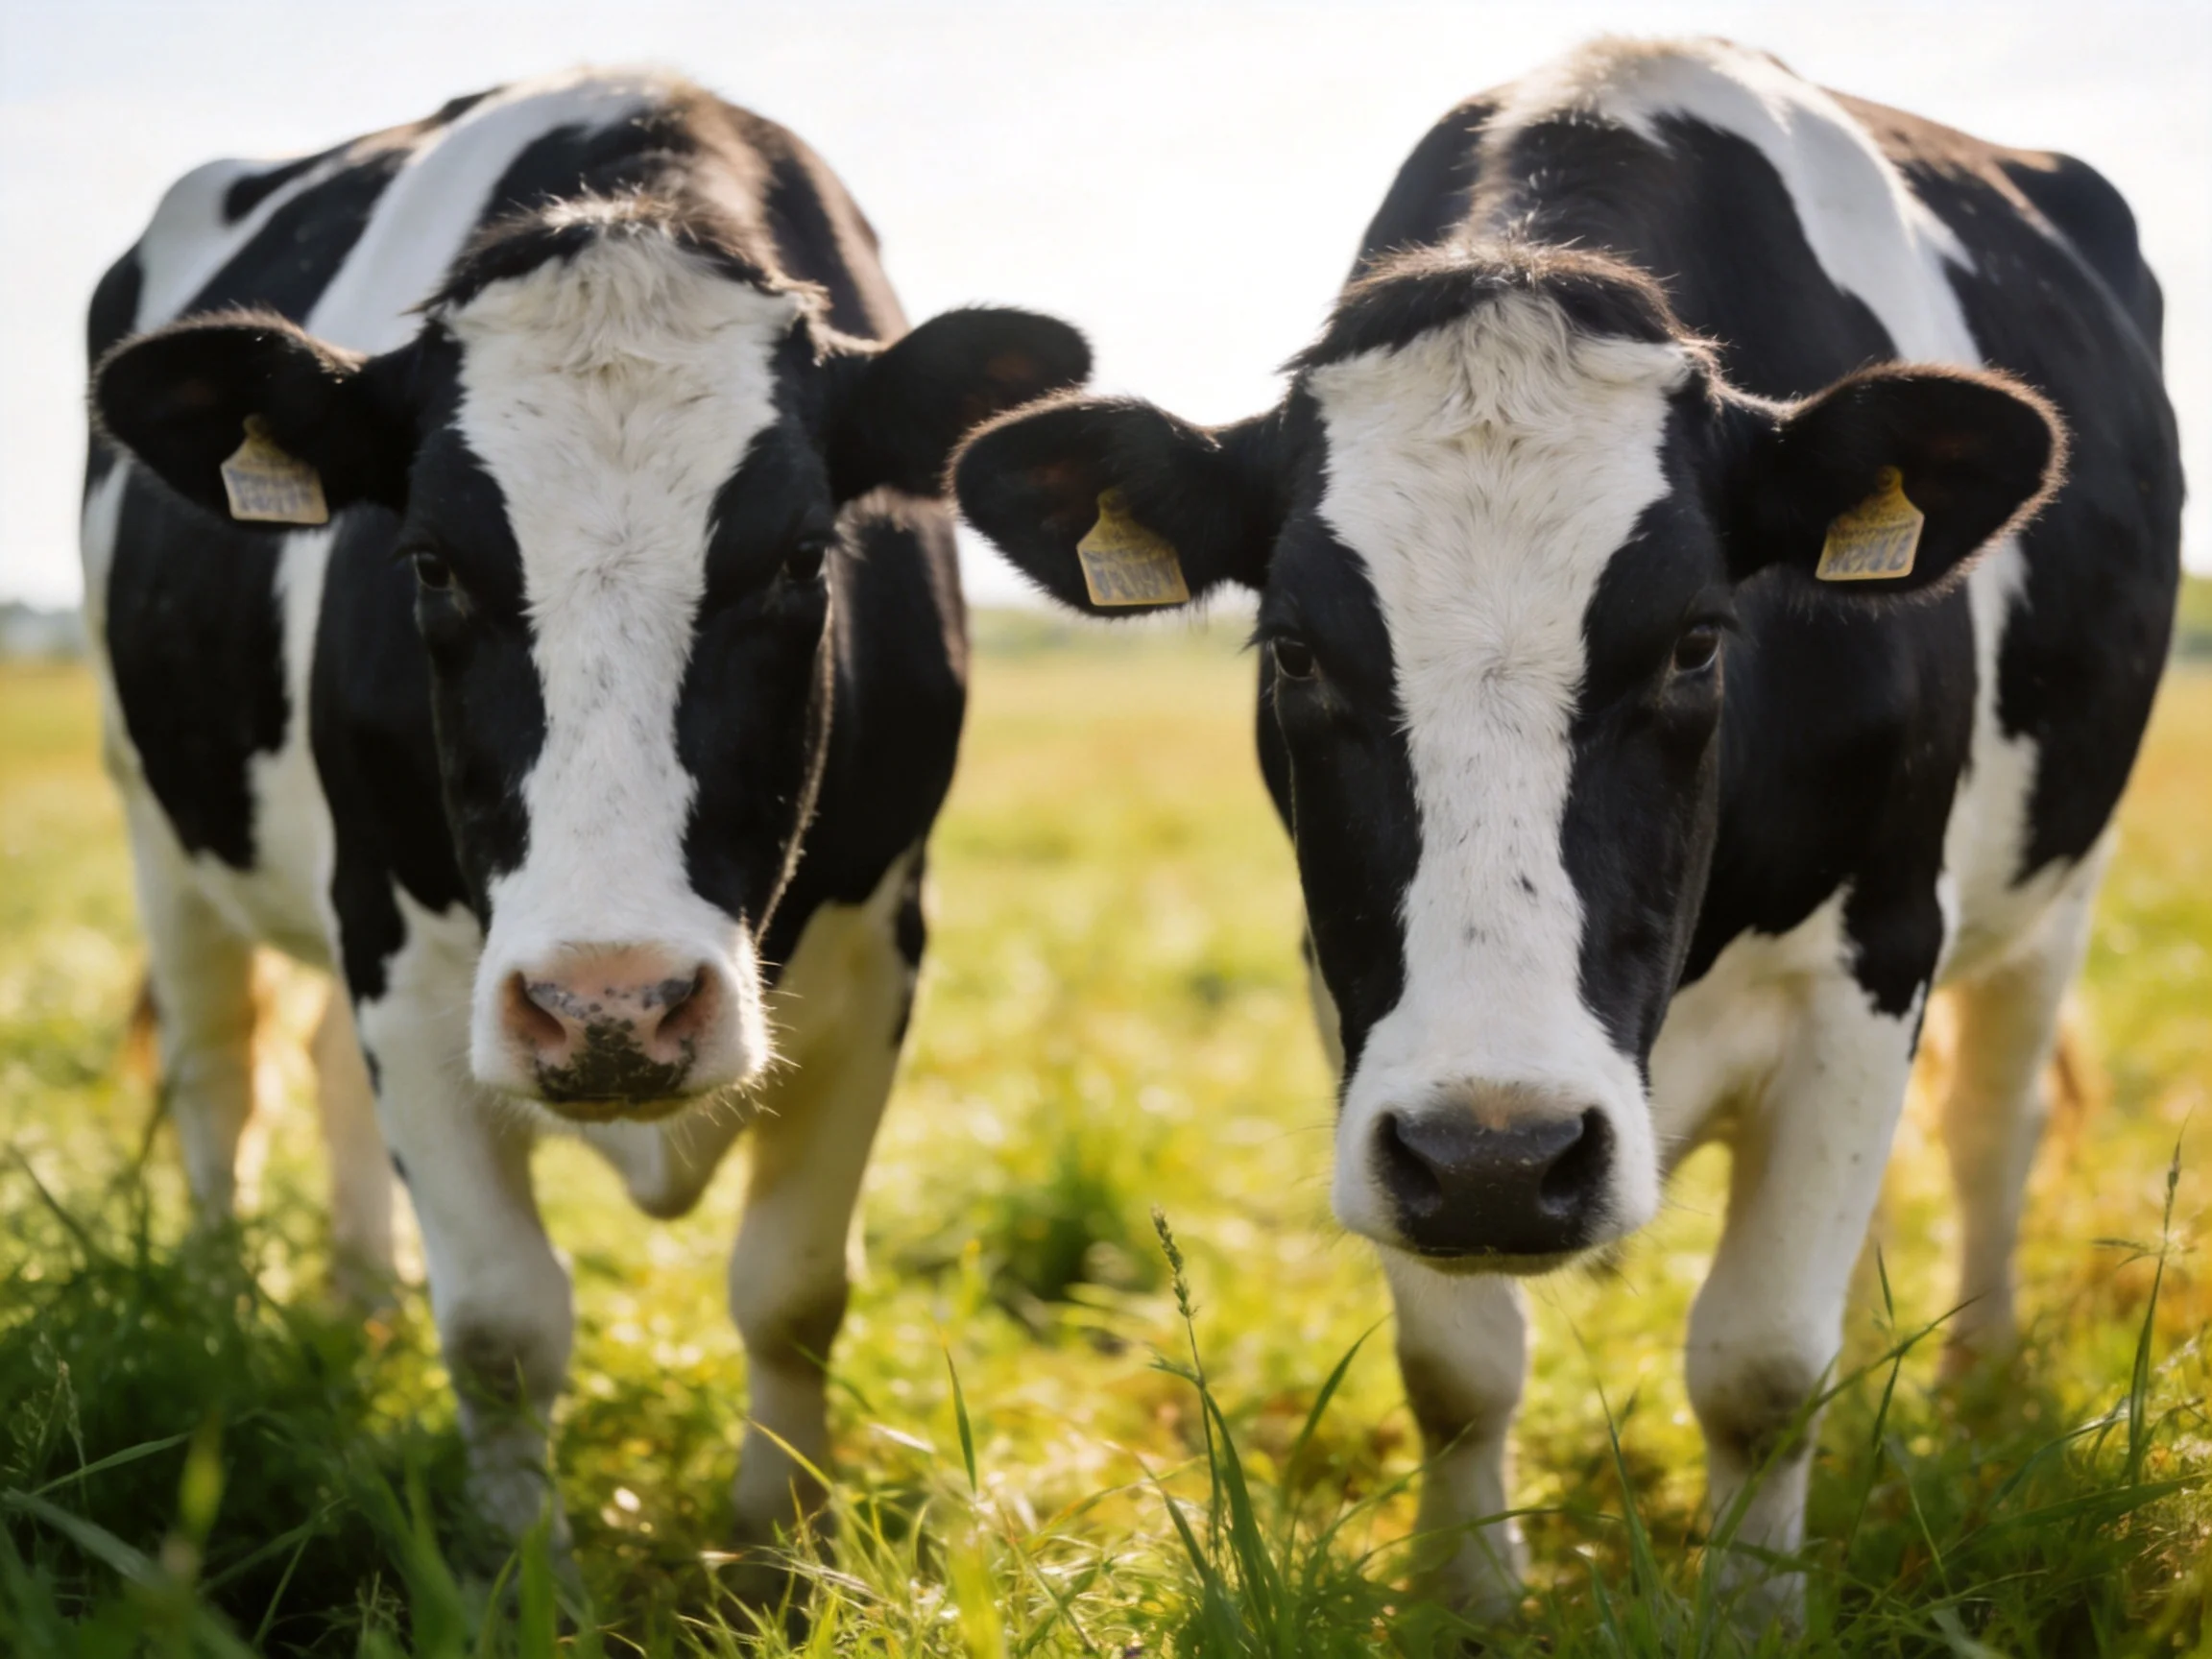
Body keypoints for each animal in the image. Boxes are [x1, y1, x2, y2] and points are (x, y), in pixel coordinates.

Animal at [83, 69, 1088, 1561]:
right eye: (430, 562)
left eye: (803, 558)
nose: (612, 1007)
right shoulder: (402, 951)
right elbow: (503, 1319)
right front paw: (518, 1565)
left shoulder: (882, 947)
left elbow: (794, 1287)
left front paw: (779, 1538)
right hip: (160, 821)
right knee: (220, 1077)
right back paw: (225, 1323)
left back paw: (363, 1299)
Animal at [953, 37, 2180, 1625]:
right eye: (1293, 651)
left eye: (1700, 643)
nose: (1500, 1157)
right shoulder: (1360, 1006)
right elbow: (1459, 1367)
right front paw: (1467, 1600)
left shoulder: (1876, 957)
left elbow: (1760, 1364)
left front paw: (1751, 1615)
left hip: (2057, 889)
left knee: (1992, 1126)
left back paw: (1975, 1380)